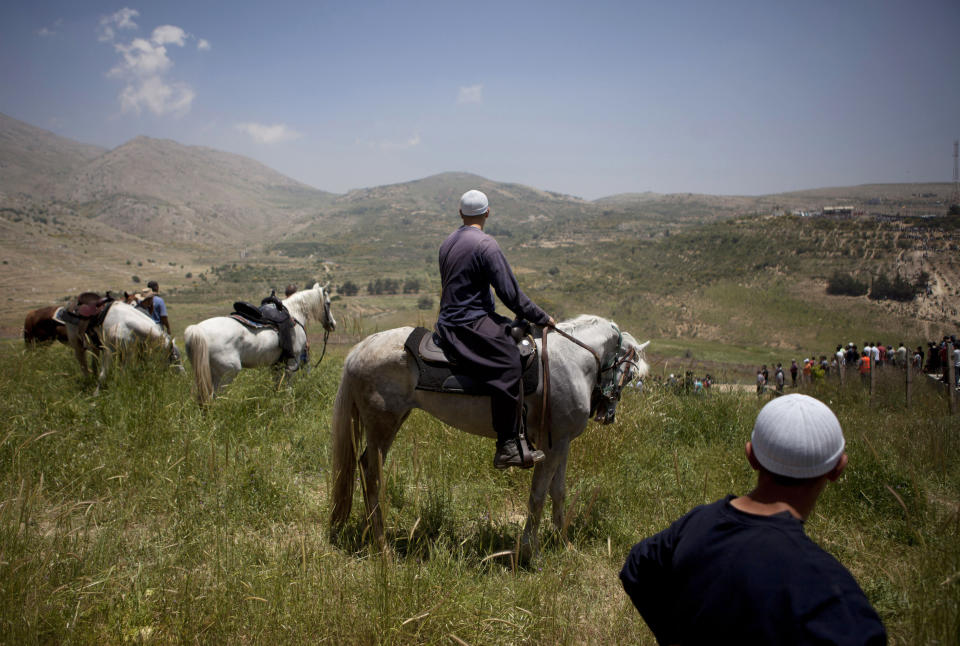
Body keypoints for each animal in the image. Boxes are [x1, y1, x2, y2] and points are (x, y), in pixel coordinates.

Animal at [330, 316, 652, 560]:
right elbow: (537, 496)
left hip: (389, 423)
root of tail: (361, 348)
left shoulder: (561, 443)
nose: (607, 414)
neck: (572, 361)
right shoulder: (551, 447)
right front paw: (529, 553)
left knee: (365, 468)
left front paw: (565, 544)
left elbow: (558, 493)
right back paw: (381, 544)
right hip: (382, 425)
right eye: (629, 371)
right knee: (372, 474)